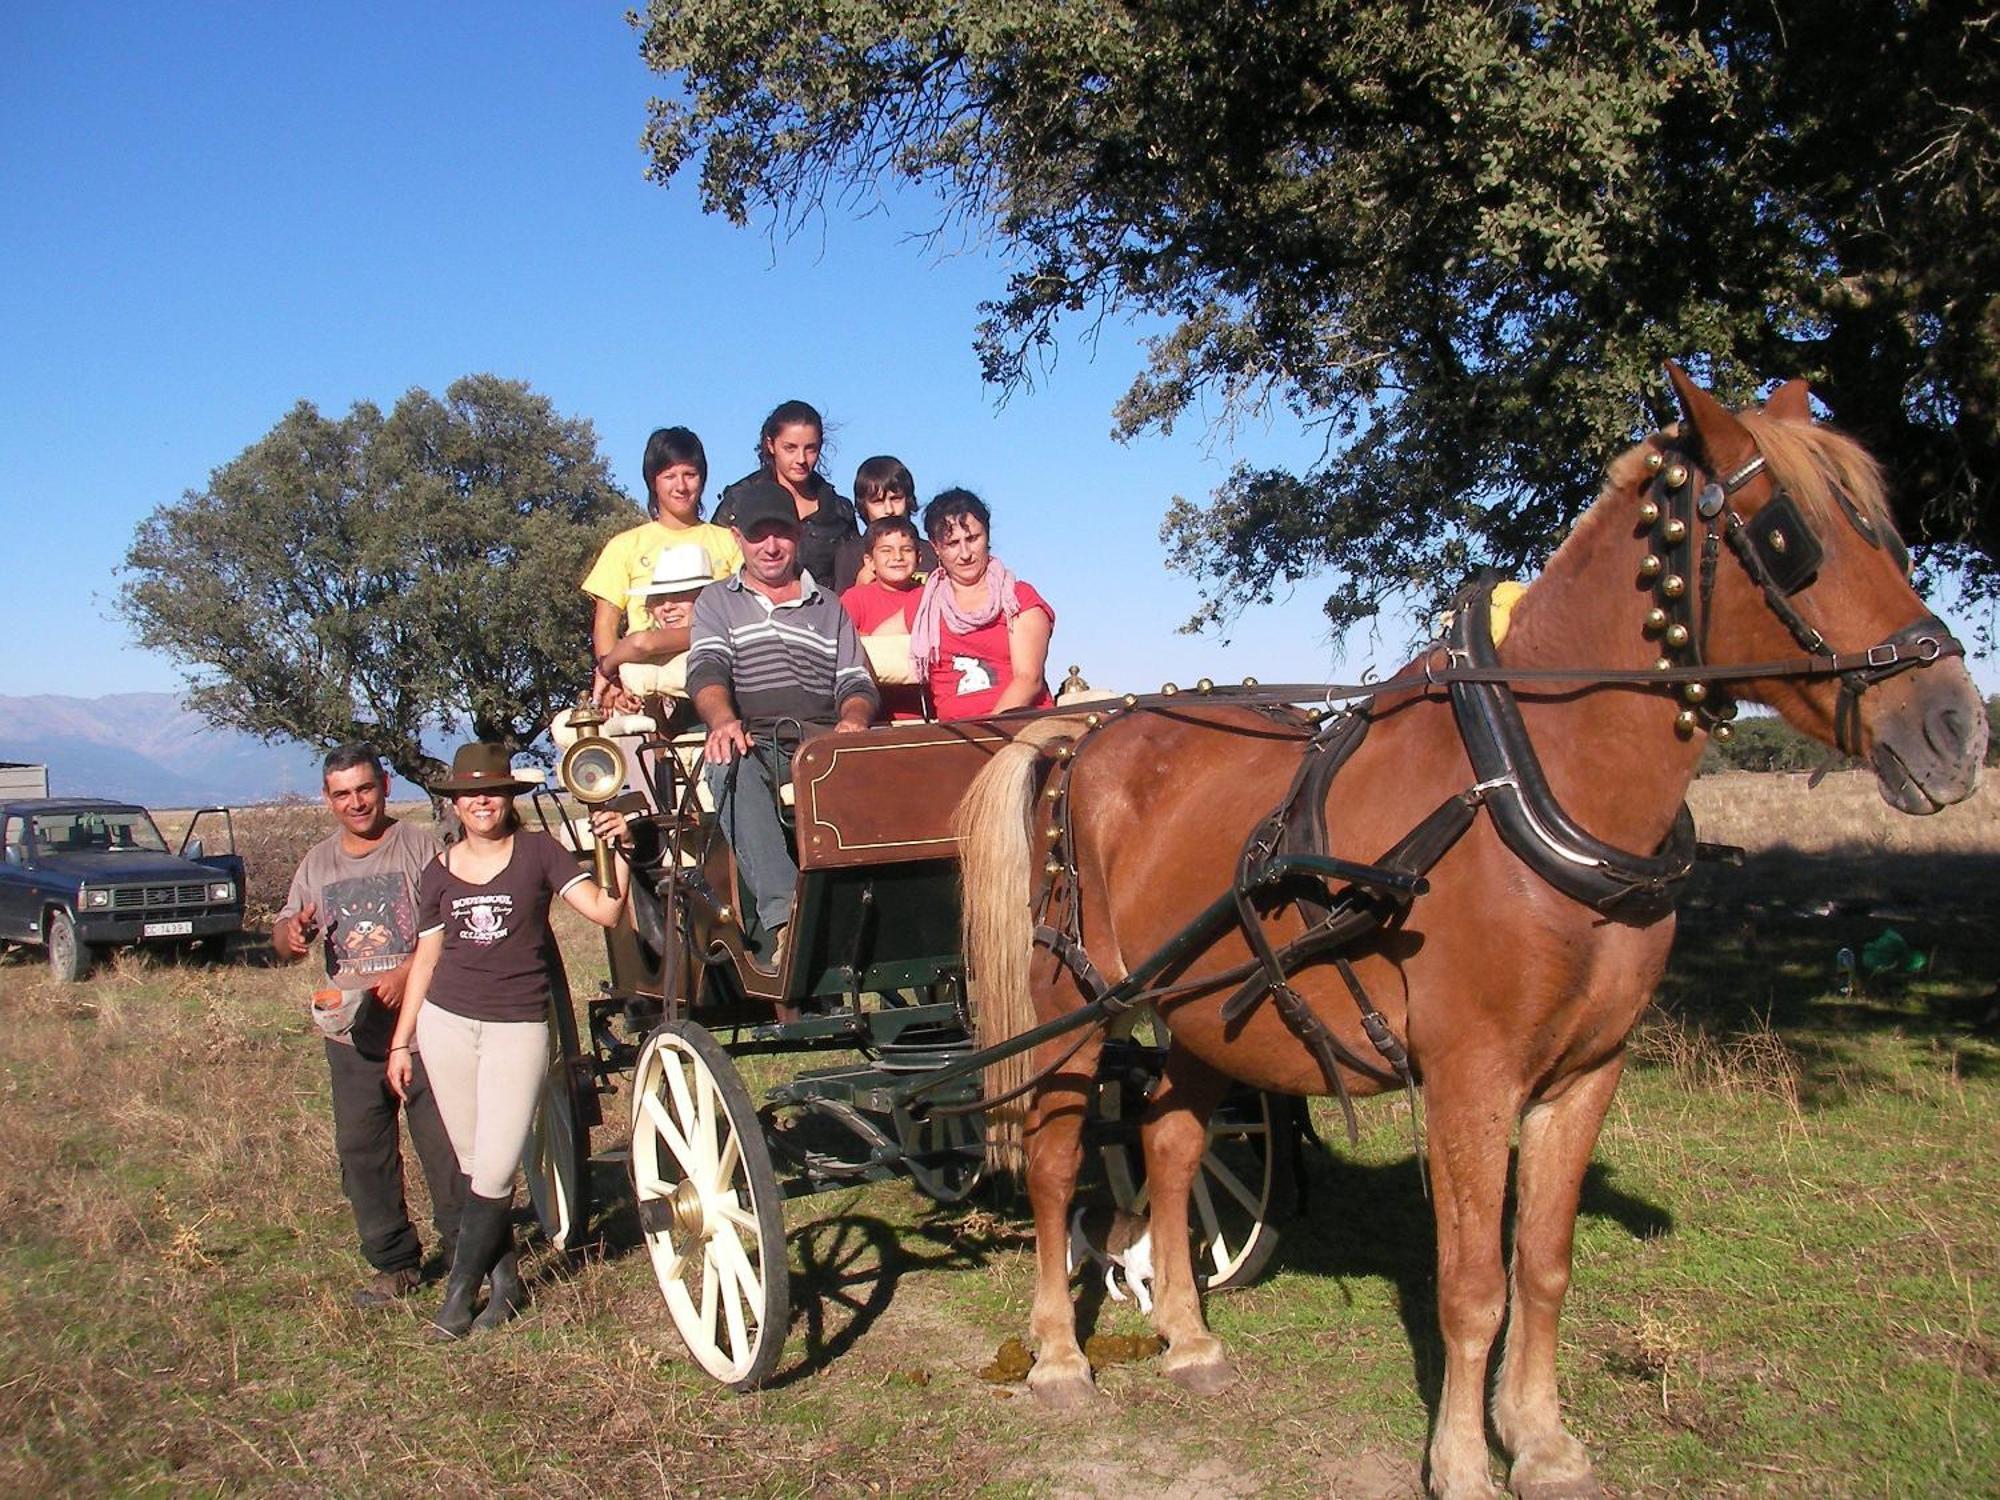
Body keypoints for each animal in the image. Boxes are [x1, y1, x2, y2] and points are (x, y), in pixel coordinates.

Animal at [956, 368, 1984, 1500]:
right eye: (1786, 534)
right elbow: (1471, 1283)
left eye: (1888, 533)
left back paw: (1189, 1340)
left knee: (1173, 1145)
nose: (1953, 727)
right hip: (1072, 1004)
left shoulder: (1586, 1074)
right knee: (1057, 1161)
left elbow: (1541, 1267)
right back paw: (1058, 1358)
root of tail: (1083, 733)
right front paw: (1459, 1459)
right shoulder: (1469, 1077)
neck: (1529, 786)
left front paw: (1540, 1441)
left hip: (1200, 1011)